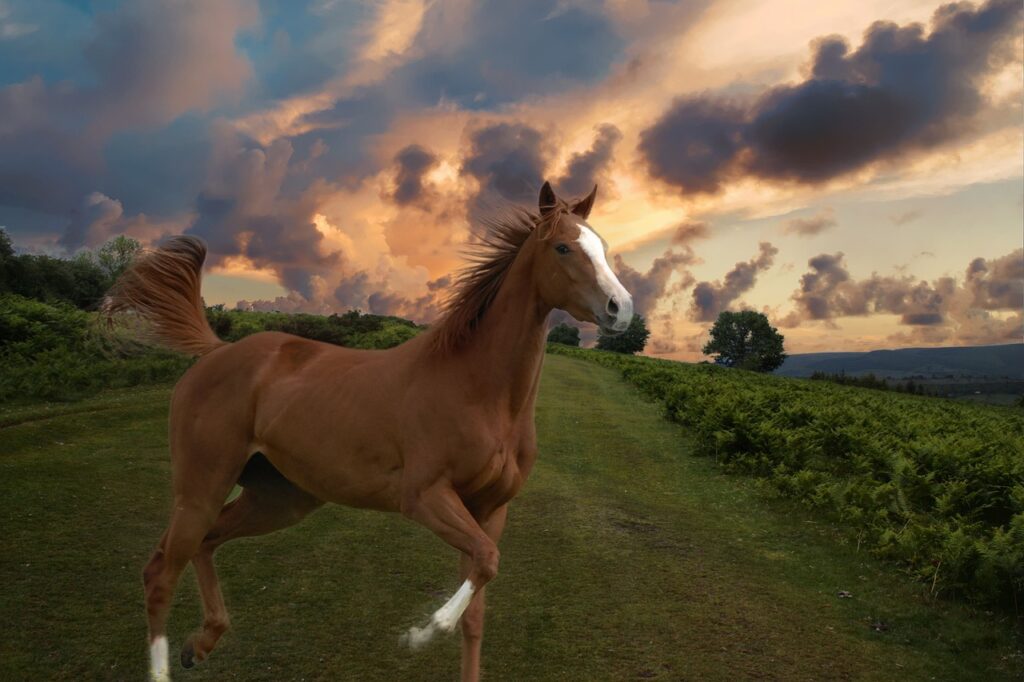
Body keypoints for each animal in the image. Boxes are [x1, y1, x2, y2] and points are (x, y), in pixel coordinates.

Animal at [105, 181, 634, 682]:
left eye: (602, 245)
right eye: (563, 247)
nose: (621, 309)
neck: (479, 390)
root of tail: (217, 351)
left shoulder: (490, 509)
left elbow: (477, 609)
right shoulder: (424, 497)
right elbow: (486, 562)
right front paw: (420, 633)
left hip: (278, 498)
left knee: (205, 544)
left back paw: (200, 645)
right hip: (201, 487)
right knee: (160, 572)